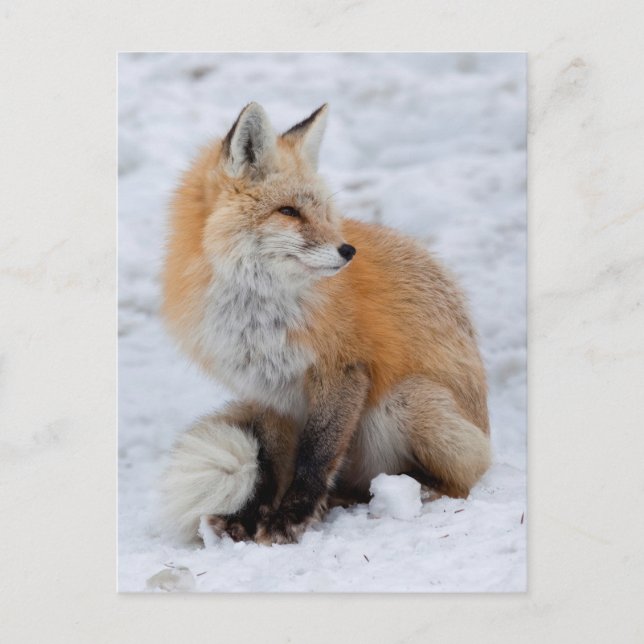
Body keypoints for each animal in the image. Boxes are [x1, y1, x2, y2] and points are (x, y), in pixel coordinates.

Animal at [161, 102, 491, 545]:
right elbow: (269, 466)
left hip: (408, 400)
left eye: (322, 213)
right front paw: (250, 517)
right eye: (288, 211)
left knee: (462, 482)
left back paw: (408, 491)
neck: (259, 316)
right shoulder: (265, 391)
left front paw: (290, 517)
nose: (348, 250)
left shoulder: (343, 369)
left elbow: (316, 455)